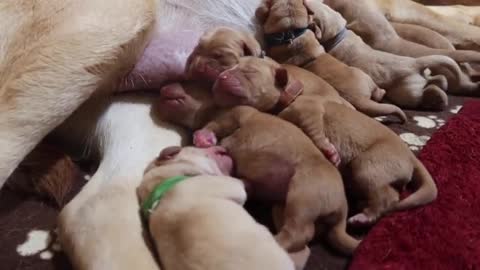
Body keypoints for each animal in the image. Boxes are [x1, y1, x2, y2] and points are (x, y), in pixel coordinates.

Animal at [214, 56, 438, 226]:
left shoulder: (310, 109)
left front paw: (328, 150)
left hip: (371, 165)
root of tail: (410, 156)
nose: (221, 75)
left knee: (387, 196)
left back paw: (364, 217)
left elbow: (315, 131)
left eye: (249, 72)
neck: (290, 95)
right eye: (232, 66)